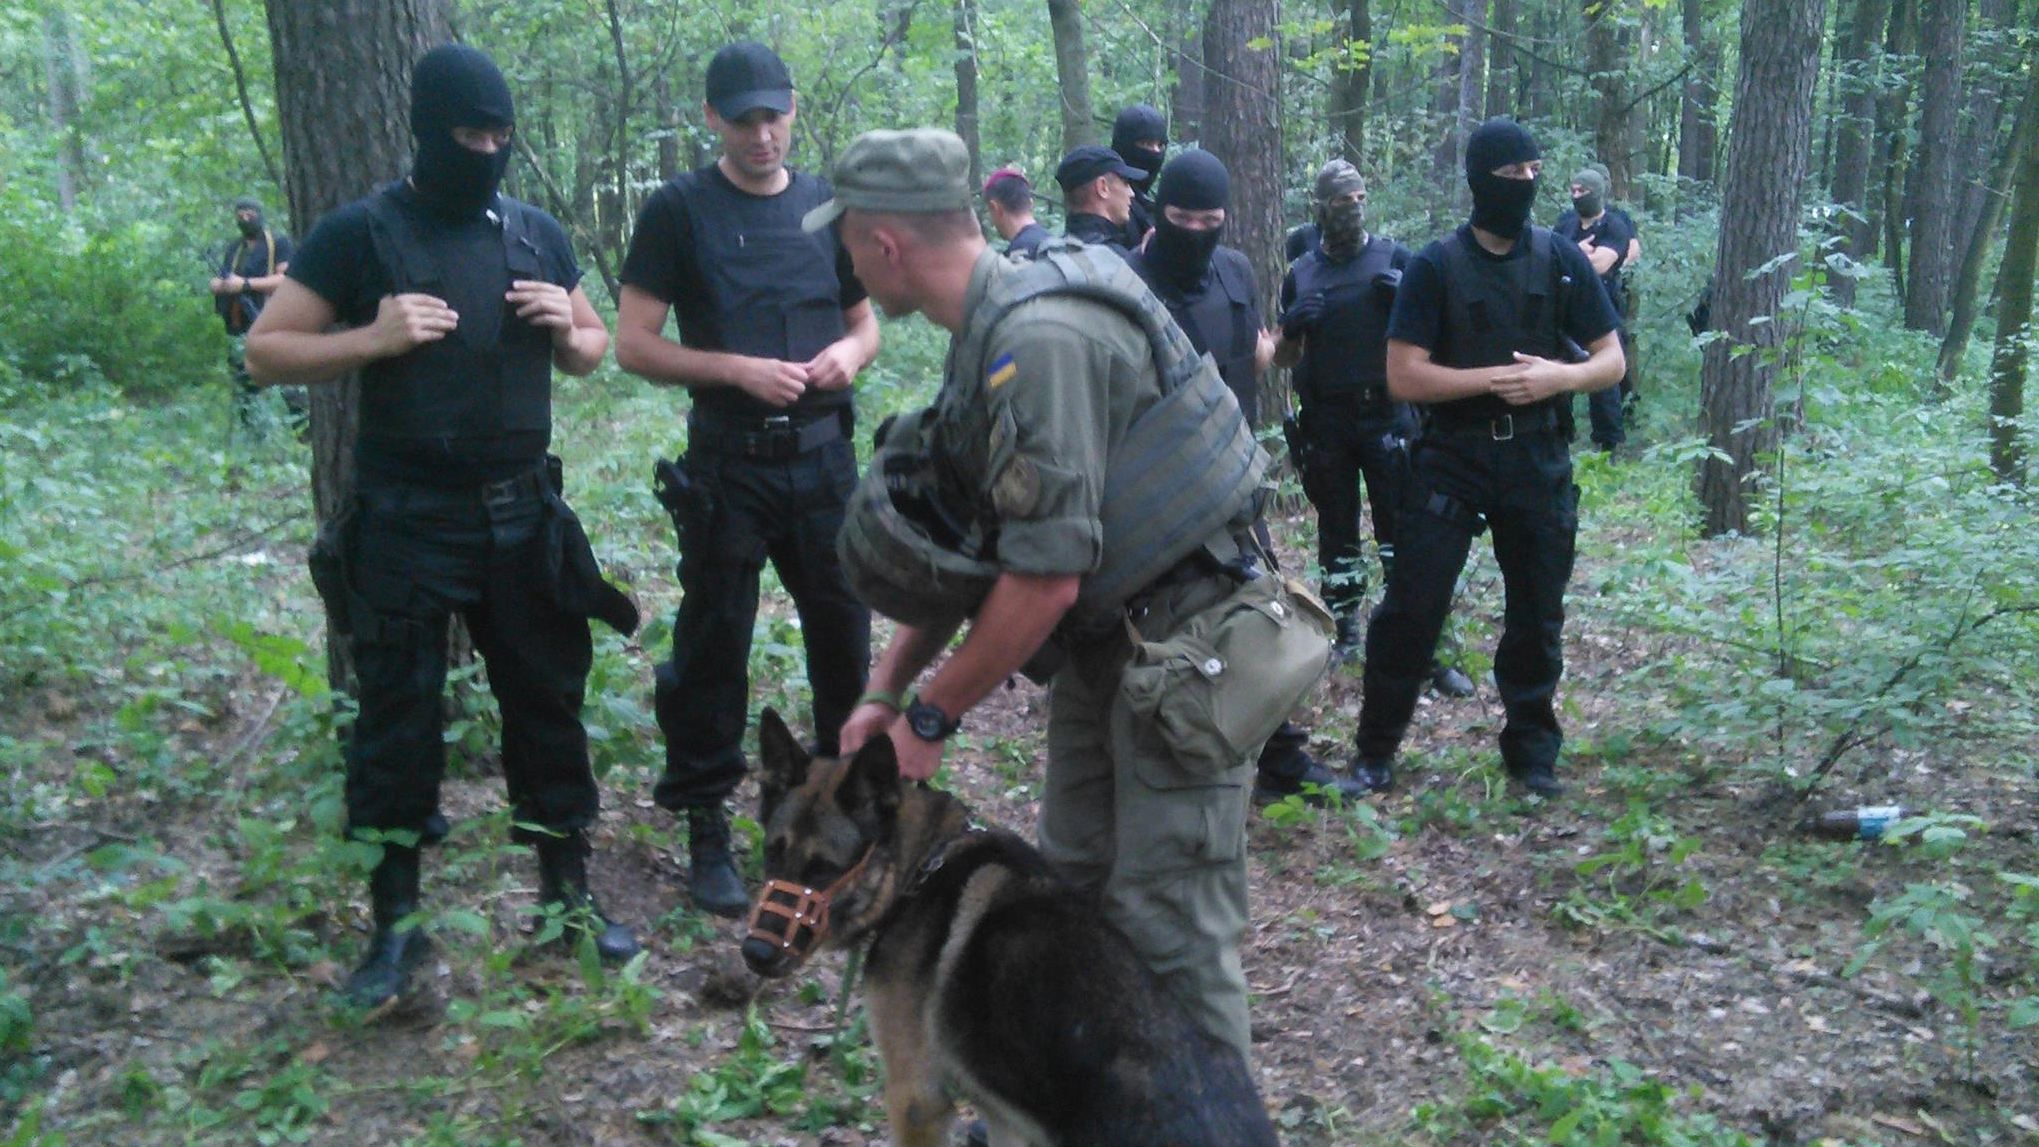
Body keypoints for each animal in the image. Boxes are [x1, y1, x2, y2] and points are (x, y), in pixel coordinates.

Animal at [742, 708, 1272, 1147]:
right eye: (772, 852)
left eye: (823, 870)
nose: (754, 954)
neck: (917, 870)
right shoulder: (1005, 1120)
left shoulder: (916, 1099)